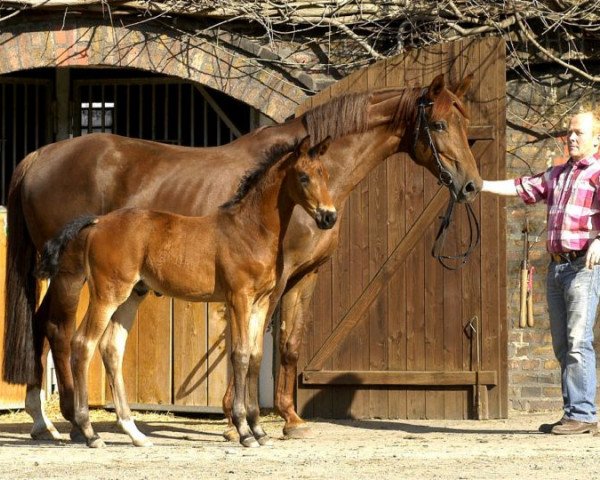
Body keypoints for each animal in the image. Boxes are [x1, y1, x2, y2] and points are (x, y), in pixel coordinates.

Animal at [37, 137, 338, 448]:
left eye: (326, 175)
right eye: (303, 177)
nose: (329, 217)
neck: (251, 229)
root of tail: (97, 222)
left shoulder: (261, 302)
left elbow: (255, 356)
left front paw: (259, 429)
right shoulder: (239, 298)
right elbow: (240, 355)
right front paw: (244, 431)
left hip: (132, 296)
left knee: (112, 348)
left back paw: (135, 433)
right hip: (108, 294)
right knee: (83, 343)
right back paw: (89, 432)